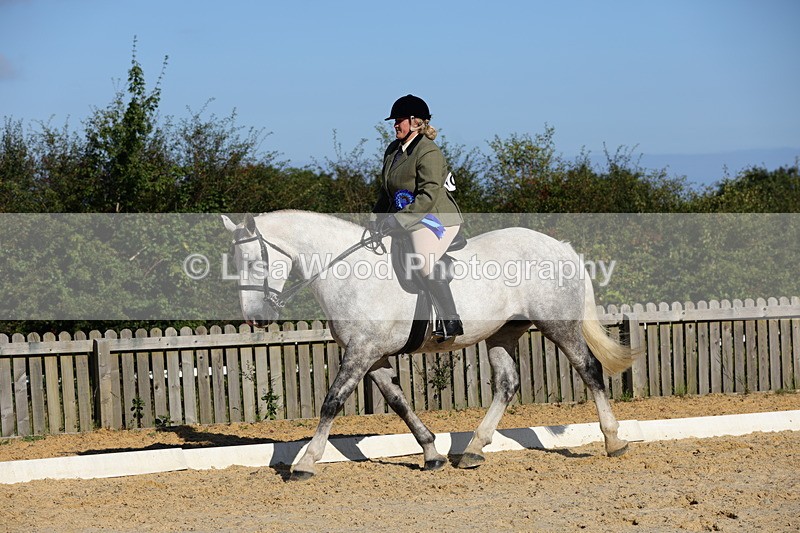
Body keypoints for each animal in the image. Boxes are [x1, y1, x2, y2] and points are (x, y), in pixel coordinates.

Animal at [222, 210, 638, 481]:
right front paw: (433, 454)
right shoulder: (372, 356)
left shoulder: (360, 353)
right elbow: (399, 403)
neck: (349, 274)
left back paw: (614, 440)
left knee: (589, 369)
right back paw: (472, 451)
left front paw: (306, 462)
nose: (255, 318)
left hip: (558, 325)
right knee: (507, 384)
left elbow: (332, 402)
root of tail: (561, 247)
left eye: (255, 262)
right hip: (503, 333)